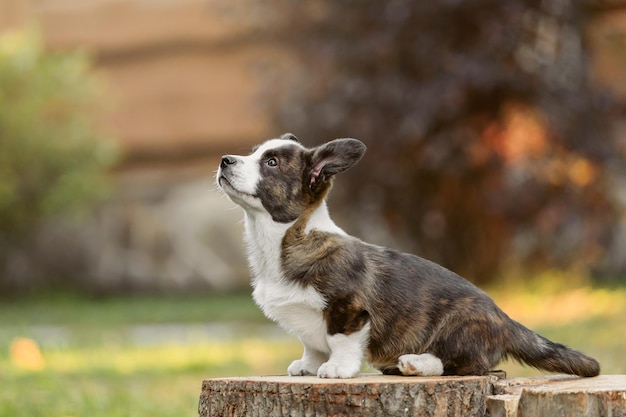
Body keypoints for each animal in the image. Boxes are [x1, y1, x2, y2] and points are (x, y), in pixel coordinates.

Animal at [216, 132, 600, 376]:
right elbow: (312, 344)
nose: (224, 160)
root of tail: (505, 319)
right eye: (255, 153)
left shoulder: (349, 310)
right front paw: (307, 366)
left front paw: (336, 369)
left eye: (271, 162)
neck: (283, 239)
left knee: (469, 366)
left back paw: (416, 364)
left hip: (458, 327)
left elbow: (339, 342)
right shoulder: (309, 324)